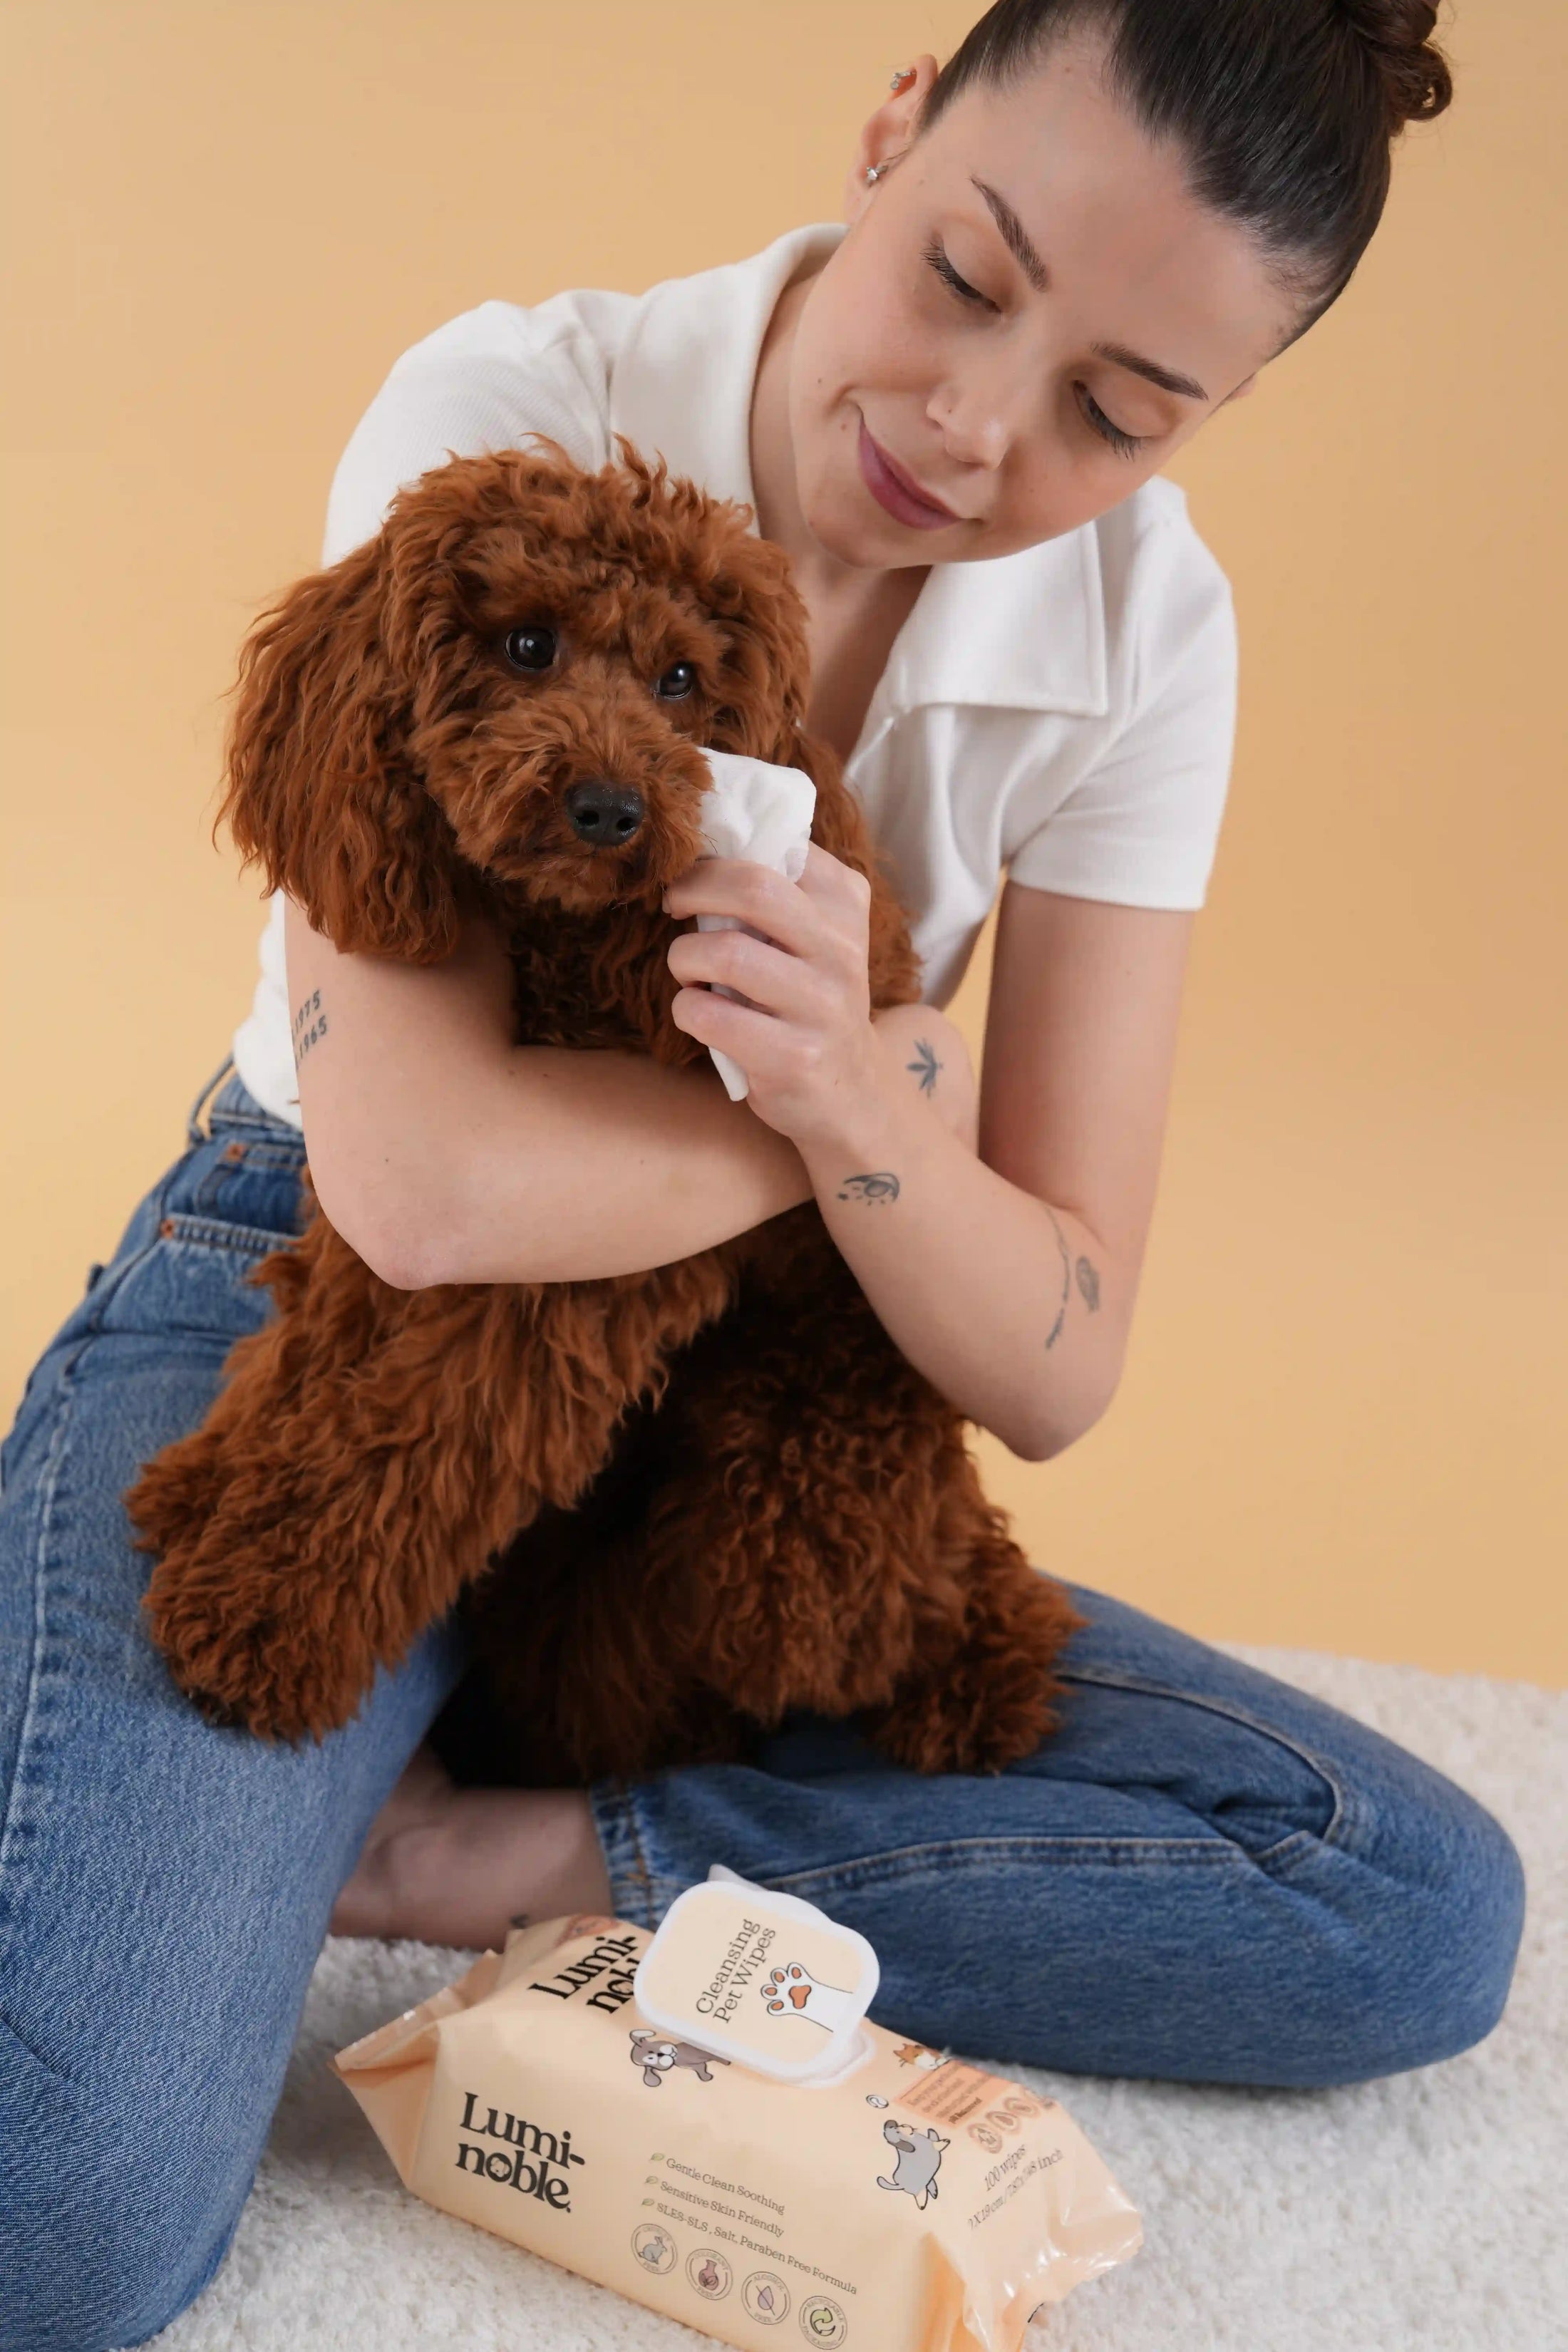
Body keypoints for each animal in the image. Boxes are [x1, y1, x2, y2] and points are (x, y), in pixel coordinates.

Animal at [123, 433, 1085, 1768]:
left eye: (682, 680)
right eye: (528, 644)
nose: (611, 811)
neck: (569, 945)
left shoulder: (565, 1281)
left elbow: (414, 1444)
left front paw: (265, 1624)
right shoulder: (441, 1195)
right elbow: (319, 1348)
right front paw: (210, 1485)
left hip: (784, 1523)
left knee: (866, 1612)